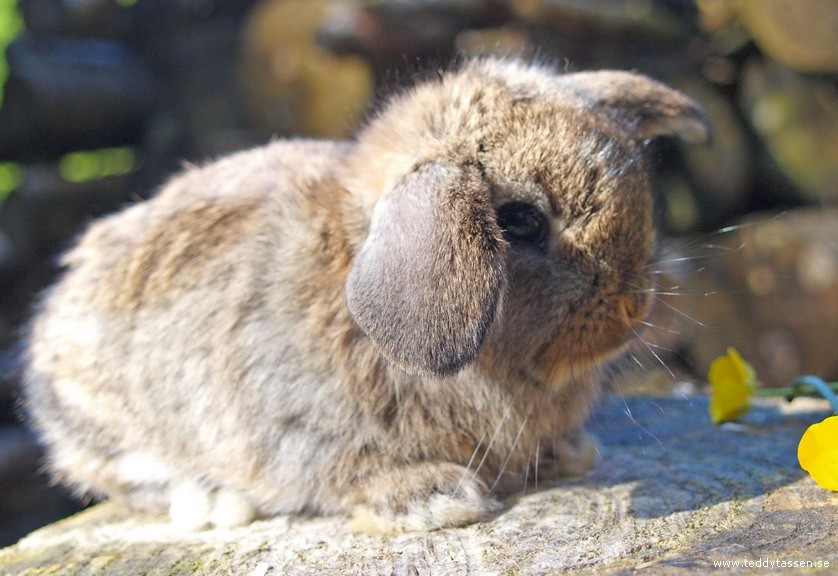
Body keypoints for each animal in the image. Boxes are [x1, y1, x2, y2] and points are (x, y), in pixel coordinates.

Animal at [23, 58, 708, 536]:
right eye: (518, 221)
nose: (634, 308)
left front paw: (568, 454)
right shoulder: (302, 433)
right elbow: (348, 472)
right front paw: (438, 499)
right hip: (104, 419)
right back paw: (214, 503)